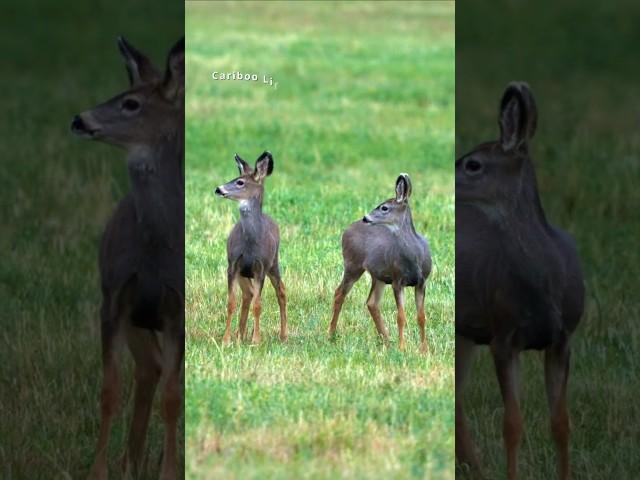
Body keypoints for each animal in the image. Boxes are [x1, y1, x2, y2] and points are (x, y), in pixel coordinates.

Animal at [71, 37, 185, 480]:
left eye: (131, 103)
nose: (80, 119)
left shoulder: (175, 308)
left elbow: (173, 397)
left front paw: (169, 471)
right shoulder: (115, 296)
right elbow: (109, 389)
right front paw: (98, 470)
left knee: (157, 372)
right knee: (148, 368)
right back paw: (130, 461)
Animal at [215, 152, 288, 344]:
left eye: (240, 182)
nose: (218, 189)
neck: (250, 244)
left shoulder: (260, 267)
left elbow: (258, 305)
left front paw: (256, 340)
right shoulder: (233, 264)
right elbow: (231, 302)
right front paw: (226, 339)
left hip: (274, 262)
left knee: (281, 290)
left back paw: (283, 335)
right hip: (243, 273)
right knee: (247, 295)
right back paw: (240, 335)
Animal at [330, 173, 430, 352]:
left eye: (384, 207)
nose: (365, 218)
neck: (415, 257)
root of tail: (346, 230)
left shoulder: (422, 282)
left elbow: (421, 316)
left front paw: (425, 350)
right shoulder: (398, 280)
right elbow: (401, 316)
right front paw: (402, 348)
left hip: (379, 275)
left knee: (372, 302)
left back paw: (387, 340)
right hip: (353, 264)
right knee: (339, 293)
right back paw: (331, 334)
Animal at [456, 83, 584, 480]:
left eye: (473, 164)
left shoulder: (562, 339)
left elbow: (561, 423)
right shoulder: (503, 335)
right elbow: (512, 424)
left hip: (467, 333)